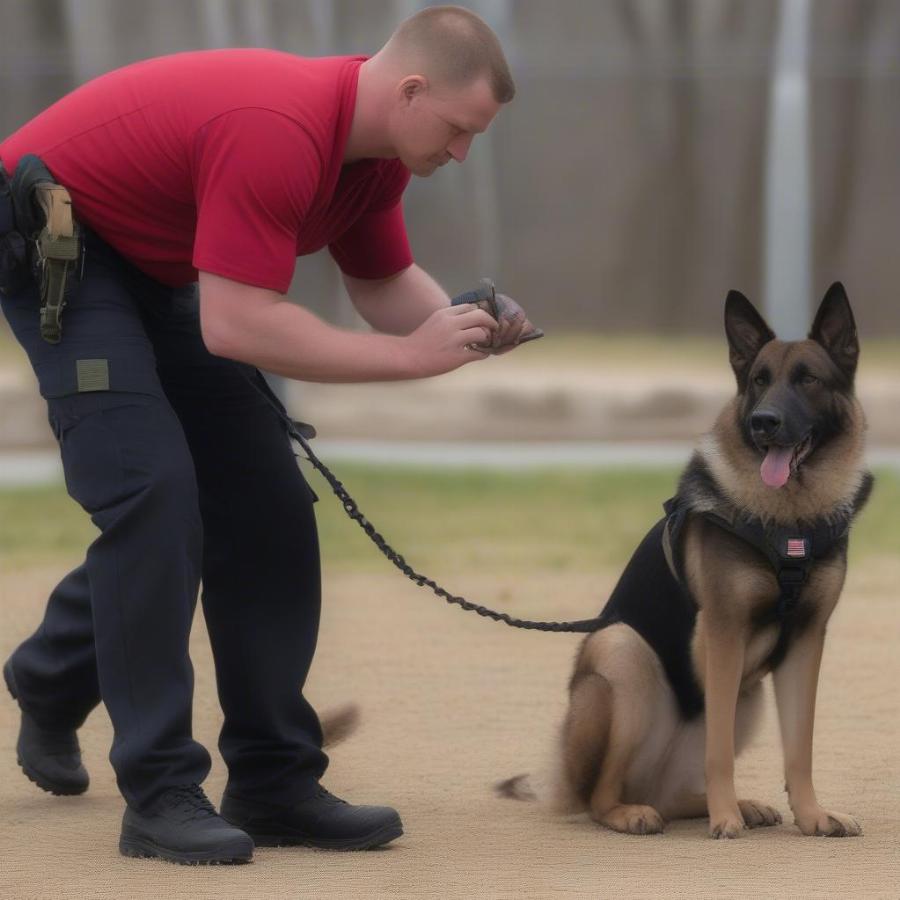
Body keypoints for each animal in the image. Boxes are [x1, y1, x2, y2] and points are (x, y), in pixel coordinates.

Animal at [500, 284, 872, 840]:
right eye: (759, 380)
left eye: (808, 379)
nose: (763, 422)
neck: (789, 522)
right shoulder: (722, 635)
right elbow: (718, 753)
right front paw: (725, 820)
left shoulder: (806, 643)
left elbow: (799, 749)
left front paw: (812, 816)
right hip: (623, 655)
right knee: (600, 796)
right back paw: (635, 812)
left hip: (748, 699)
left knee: (674, 796)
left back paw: (739, 805)